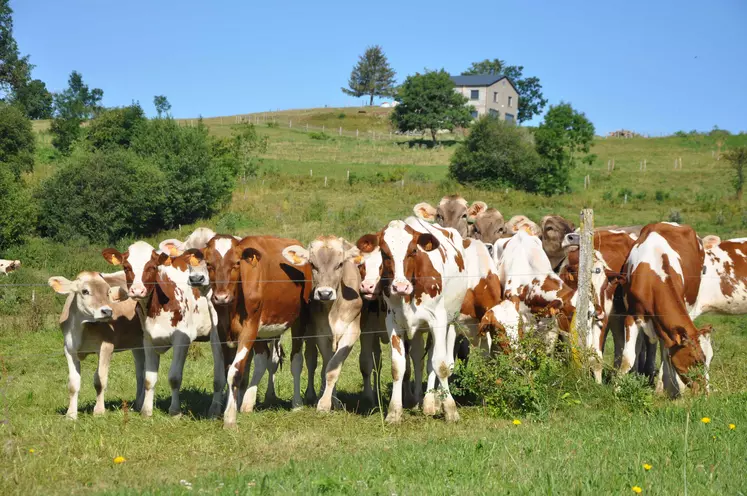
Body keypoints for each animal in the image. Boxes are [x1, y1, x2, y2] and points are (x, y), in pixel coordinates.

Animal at [48, 272, 146, 418]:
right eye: (85, 291)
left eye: (108, 292)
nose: (107, 311)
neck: (82, 327)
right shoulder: (69, 349)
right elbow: (73, 383)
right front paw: (71, 414)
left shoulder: (106, 346)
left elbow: (100, 380)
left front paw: (99, 411)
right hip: (137, 344)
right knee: (140, 372)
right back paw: (138, 405)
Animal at [102, 242, 225, 416]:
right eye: (126, 267)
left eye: (152, 267)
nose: (137, 291)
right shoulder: (147, 340)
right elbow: (149, 378)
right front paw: (146, 411)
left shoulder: (182, 339)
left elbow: (174, 377)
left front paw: (175, 411)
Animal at [197, 234, 312, 428]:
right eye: (209, 264)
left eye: (236, 263)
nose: (221, 297)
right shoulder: (222, 332)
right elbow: (227, 371)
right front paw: (232, 407)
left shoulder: (249, 329)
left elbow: (235, 372)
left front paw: (230, 418)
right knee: (262, 359)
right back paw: (247, 403)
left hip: (299, 320)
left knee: (296, 360)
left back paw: (297, 404)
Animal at [282, 235, 364, 410]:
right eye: (313, 264)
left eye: (340, 264)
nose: (325, 293)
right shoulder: (321, 333)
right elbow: (328, 366)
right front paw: (326, 402)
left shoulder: (352, 331)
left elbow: (333, 366)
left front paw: (329, 401)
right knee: (306, 360)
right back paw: (305, 398)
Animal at [620, 223, 712, 398]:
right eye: (697, 361)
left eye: (709, 360)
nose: (707, 392)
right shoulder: (631, 316)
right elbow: (628, 358)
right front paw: (618, 389)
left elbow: (666, 355)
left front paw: (666, 389)